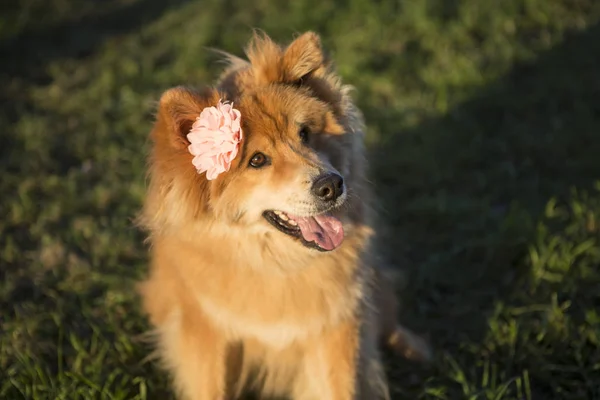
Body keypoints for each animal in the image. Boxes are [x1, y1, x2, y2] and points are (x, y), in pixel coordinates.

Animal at [138, 31, 428, 400]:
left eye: (304, 134)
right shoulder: (206, 334)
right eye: (257, 160)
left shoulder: (339, 325)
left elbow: (342, 386)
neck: (276, 265)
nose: (332, 185)